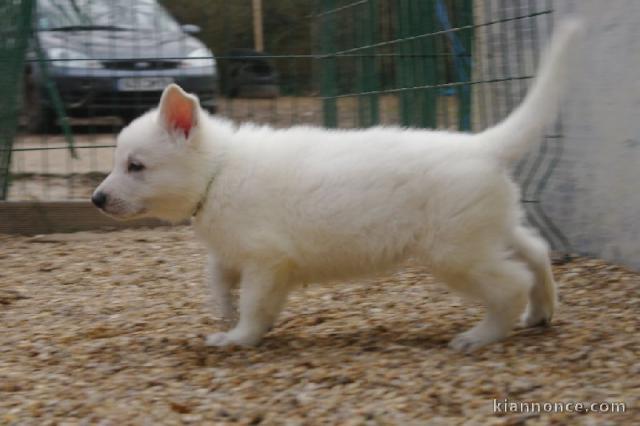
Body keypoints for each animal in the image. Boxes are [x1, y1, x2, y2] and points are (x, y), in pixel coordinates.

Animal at [92, 20, 584, 352]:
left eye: (135, 166)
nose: (96, 199)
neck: (219, 170)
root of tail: (483, 146)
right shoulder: (240, 251)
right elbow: (216, 274)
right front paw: (226, 310)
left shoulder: (267, 260)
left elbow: (253, 303)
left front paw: (238, 336)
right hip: (490, 229)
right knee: (536, 253)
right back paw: (542, 312)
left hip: (455, 252)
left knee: (510, 283)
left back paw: (482, 335)